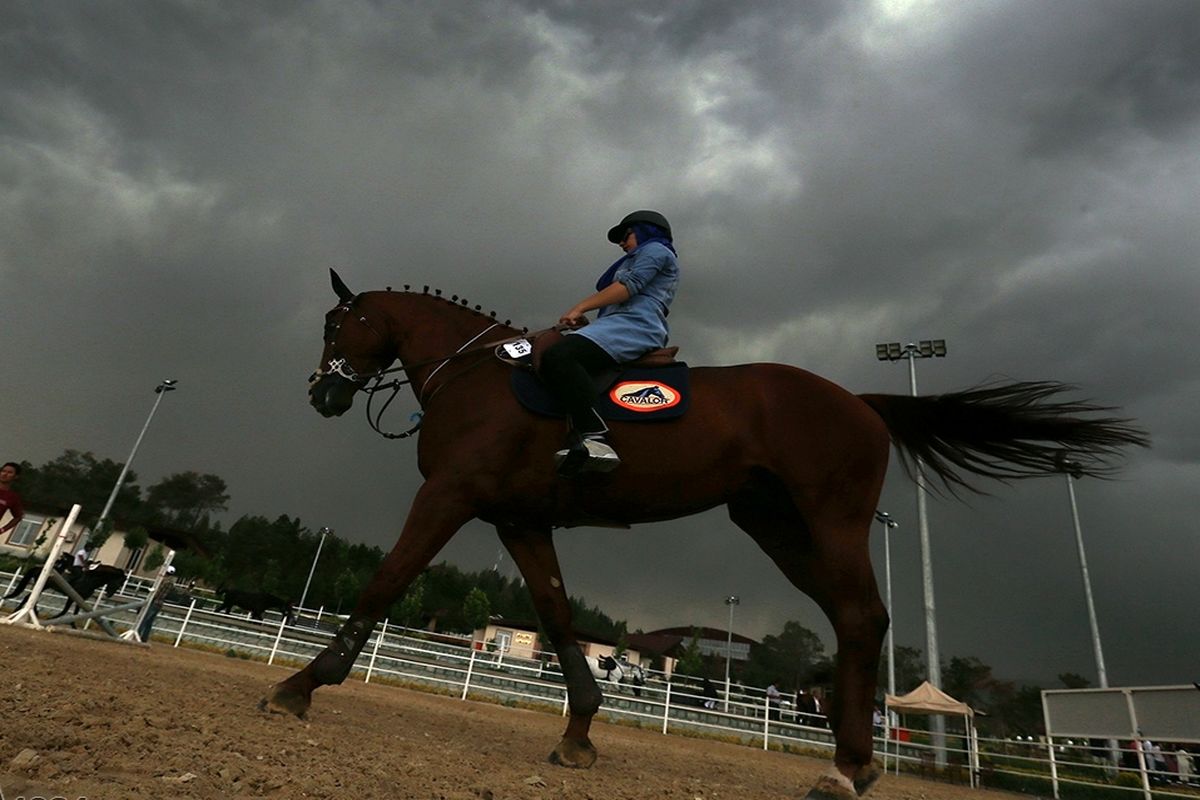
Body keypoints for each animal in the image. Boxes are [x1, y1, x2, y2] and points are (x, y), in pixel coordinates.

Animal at [260, 271, 1142, 800]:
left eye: (337, 322)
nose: (318, 393)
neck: (476, 378)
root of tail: (858, 401)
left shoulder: (450, 496)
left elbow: (387, 580)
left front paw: (299, 686)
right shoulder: (520, 518)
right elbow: (555, 613)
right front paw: (579, 731)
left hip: (830, 521)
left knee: (861, 618)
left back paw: (845, 770)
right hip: (778, 529)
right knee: (854, 621)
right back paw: (853, 762)